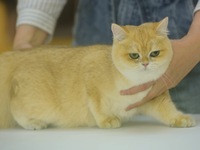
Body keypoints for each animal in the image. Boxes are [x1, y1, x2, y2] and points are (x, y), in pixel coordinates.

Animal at [0, 17, 195, 129]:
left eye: (155, 53)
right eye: (134, 55)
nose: (146, 63)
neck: (131, 82)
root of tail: (21, 54)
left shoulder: (155, 99)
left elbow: (169, 111)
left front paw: (181, 119)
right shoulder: (91, 80)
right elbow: (97, 106)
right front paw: (107, 120)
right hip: (37, 103)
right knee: (15, 108)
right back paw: (33, 123)